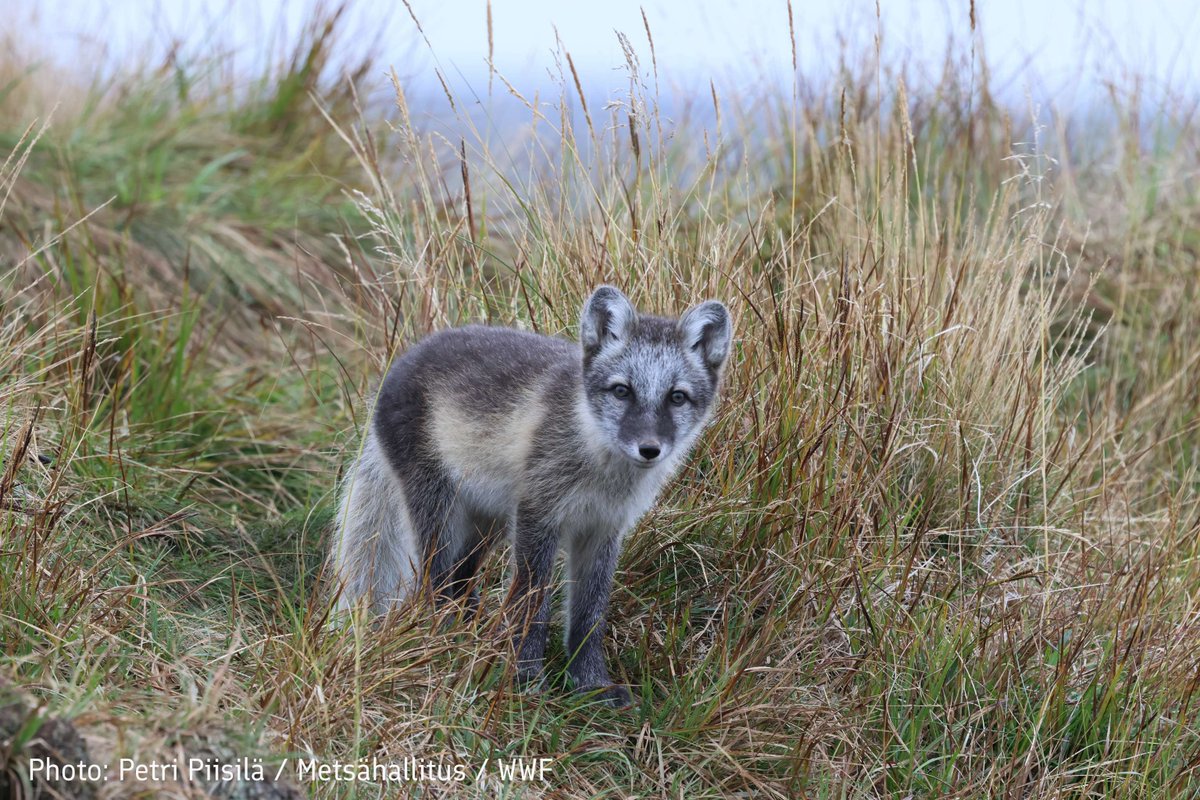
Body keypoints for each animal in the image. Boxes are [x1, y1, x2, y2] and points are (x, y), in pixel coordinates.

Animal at [329, 286, 733, 707]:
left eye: (677, 397)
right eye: (622, 391)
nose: (649, 449)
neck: (598, 463)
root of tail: (401, 362)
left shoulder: (604, 529)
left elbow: (590, 613)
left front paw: (591, 685)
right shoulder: (539, 515)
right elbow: (531, 601)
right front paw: (524, 677)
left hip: (487, 523)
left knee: (460, 577)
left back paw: (468, 637)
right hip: (441, 510)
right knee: (434, 581)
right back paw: (446, 641)